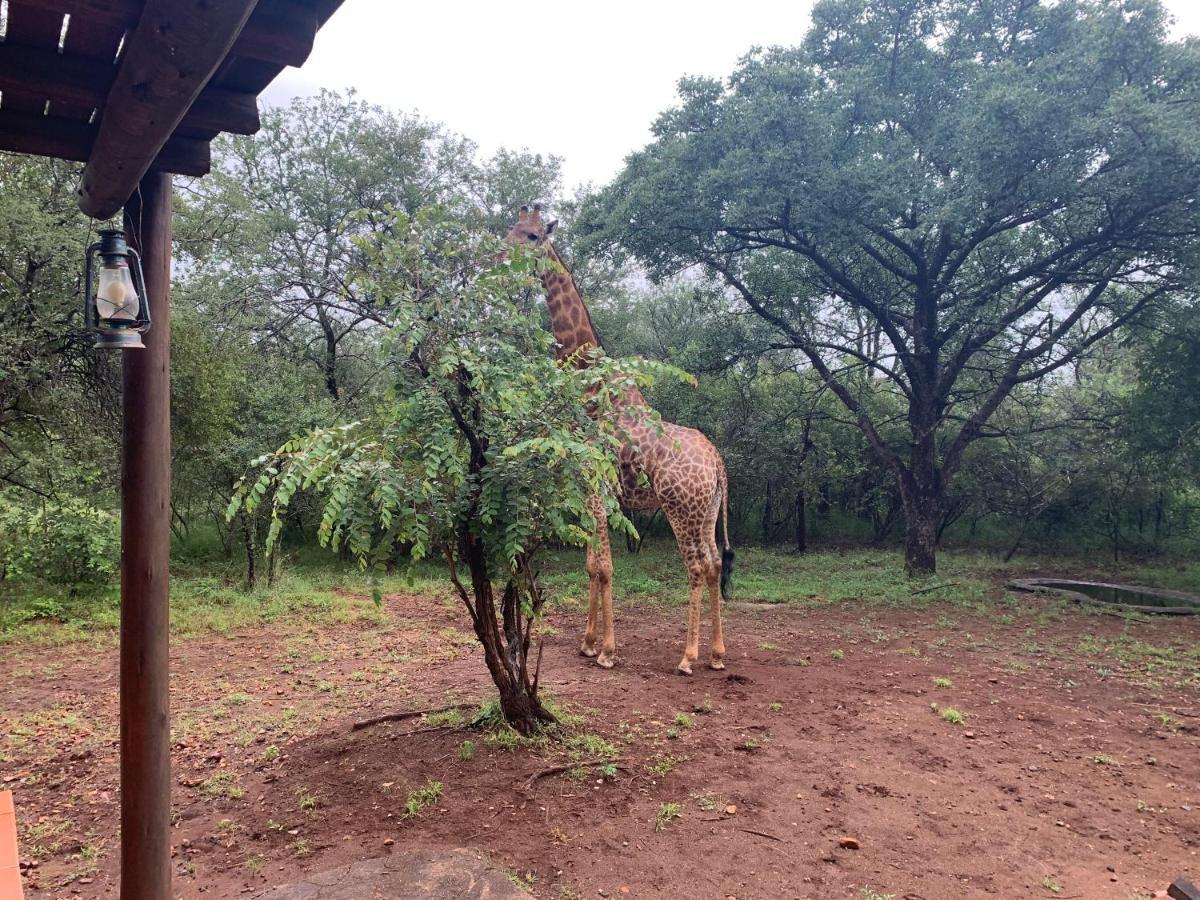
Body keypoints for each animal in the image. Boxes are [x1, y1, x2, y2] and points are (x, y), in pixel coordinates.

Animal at [504, 206, 734, 676]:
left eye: (533, 235)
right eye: (509, 229)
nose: (502, 256)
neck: (590, 388)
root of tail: (718, 462)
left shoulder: (594, 489)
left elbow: (606, 567)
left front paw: (608, 651)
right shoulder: (590, 492)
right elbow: (592, 566)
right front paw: (587, 643)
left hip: (680, 508)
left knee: (697, 566)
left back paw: (688, 656)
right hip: (707, 511)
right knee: (716, 563)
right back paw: (718, 654)